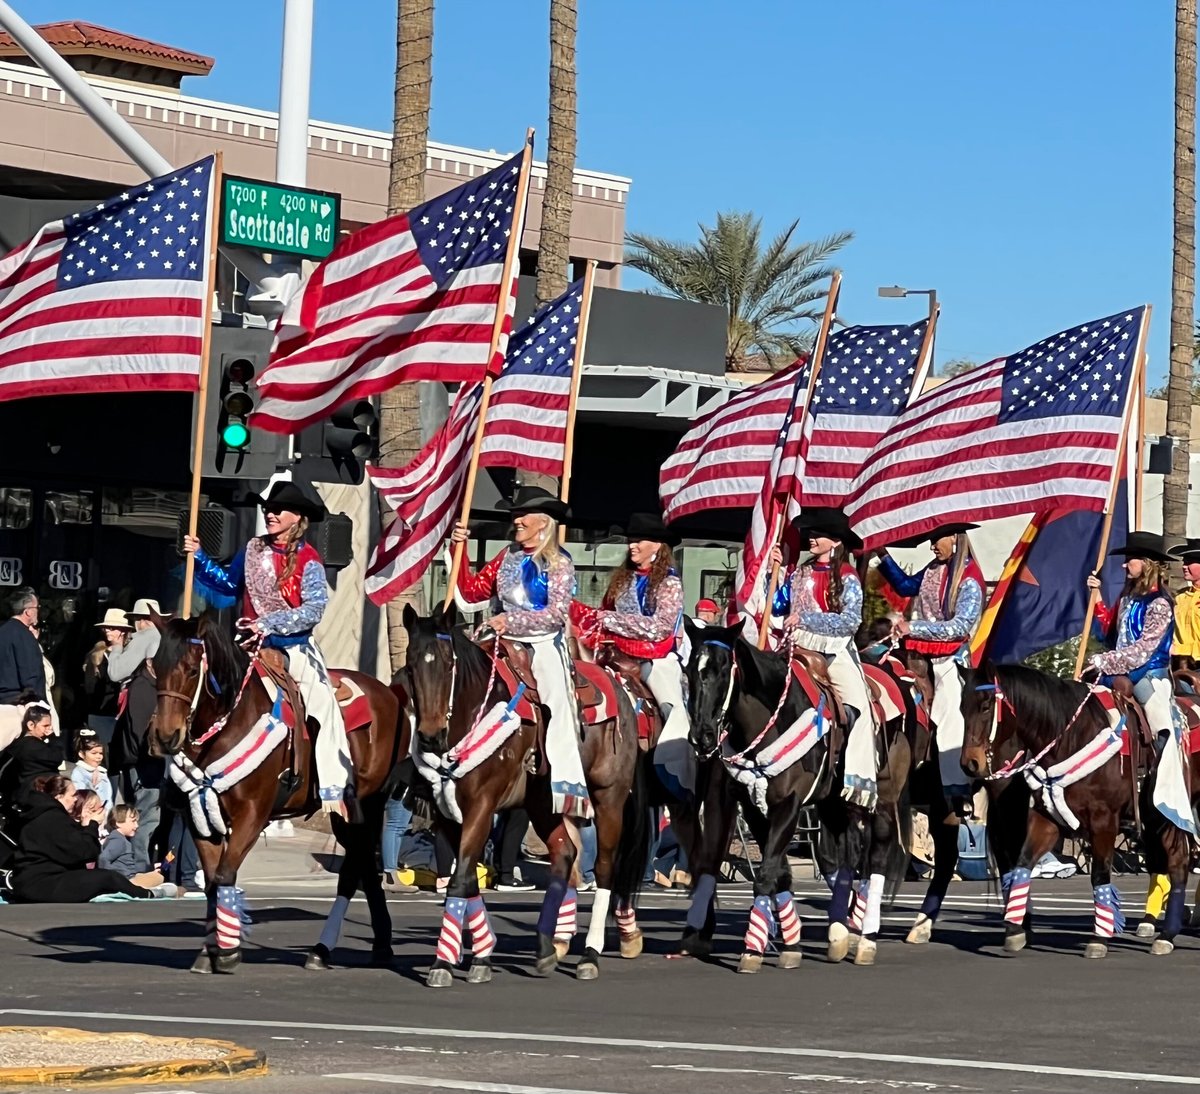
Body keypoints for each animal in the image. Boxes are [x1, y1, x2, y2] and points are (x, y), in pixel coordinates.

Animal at [152, 614, 405, 974]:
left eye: (190, 669)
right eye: (155, 666)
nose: (165, 736)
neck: (231, 721)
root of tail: (389, 694)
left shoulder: (252, 815)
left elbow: (226, 874)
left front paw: (228, 952)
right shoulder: (200, 816)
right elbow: (214, 880)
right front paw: (209, 950)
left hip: (367, 803)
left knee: (354, 869)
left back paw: (325, 949)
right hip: (348, 813)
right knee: (365, 868)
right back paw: (370, 945)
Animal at [403, 602, 652, 988]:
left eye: (447, 663)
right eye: (411, 665)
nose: (430, 736)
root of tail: (624, 691)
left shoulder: (481, 806)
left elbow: (460, 881)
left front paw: (443, 963)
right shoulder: (447, 815)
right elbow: (466, 879)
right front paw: (482, 954)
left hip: (607, 798)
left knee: (605, 868)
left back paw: (590, 954)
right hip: (542, 802)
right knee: (565, 855)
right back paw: (548, 946)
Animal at [686, 618, 907, 969]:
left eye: (722, 669)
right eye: (689, 670)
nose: (702, 736)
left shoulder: (788, 806)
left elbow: (765, 874)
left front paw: (752, 949)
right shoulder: (754, 806)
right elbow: (779, 873)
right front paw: (789, 943)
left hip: (883, 797)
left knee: (877, 858)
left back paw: (866, 939)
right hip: (833, 803)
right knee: (844, 857)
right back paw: (840, 933)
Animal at [955, 657, 1132, 959]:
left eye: (986, 705)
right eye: (961, 708)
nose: (970, 763)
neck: (1073, 737)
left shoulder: (1104, 822)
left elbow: (1099, 875)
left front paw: (1099, 938)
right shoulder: (1046, 819)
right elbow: (1022, 865)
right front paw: (1015, 929)